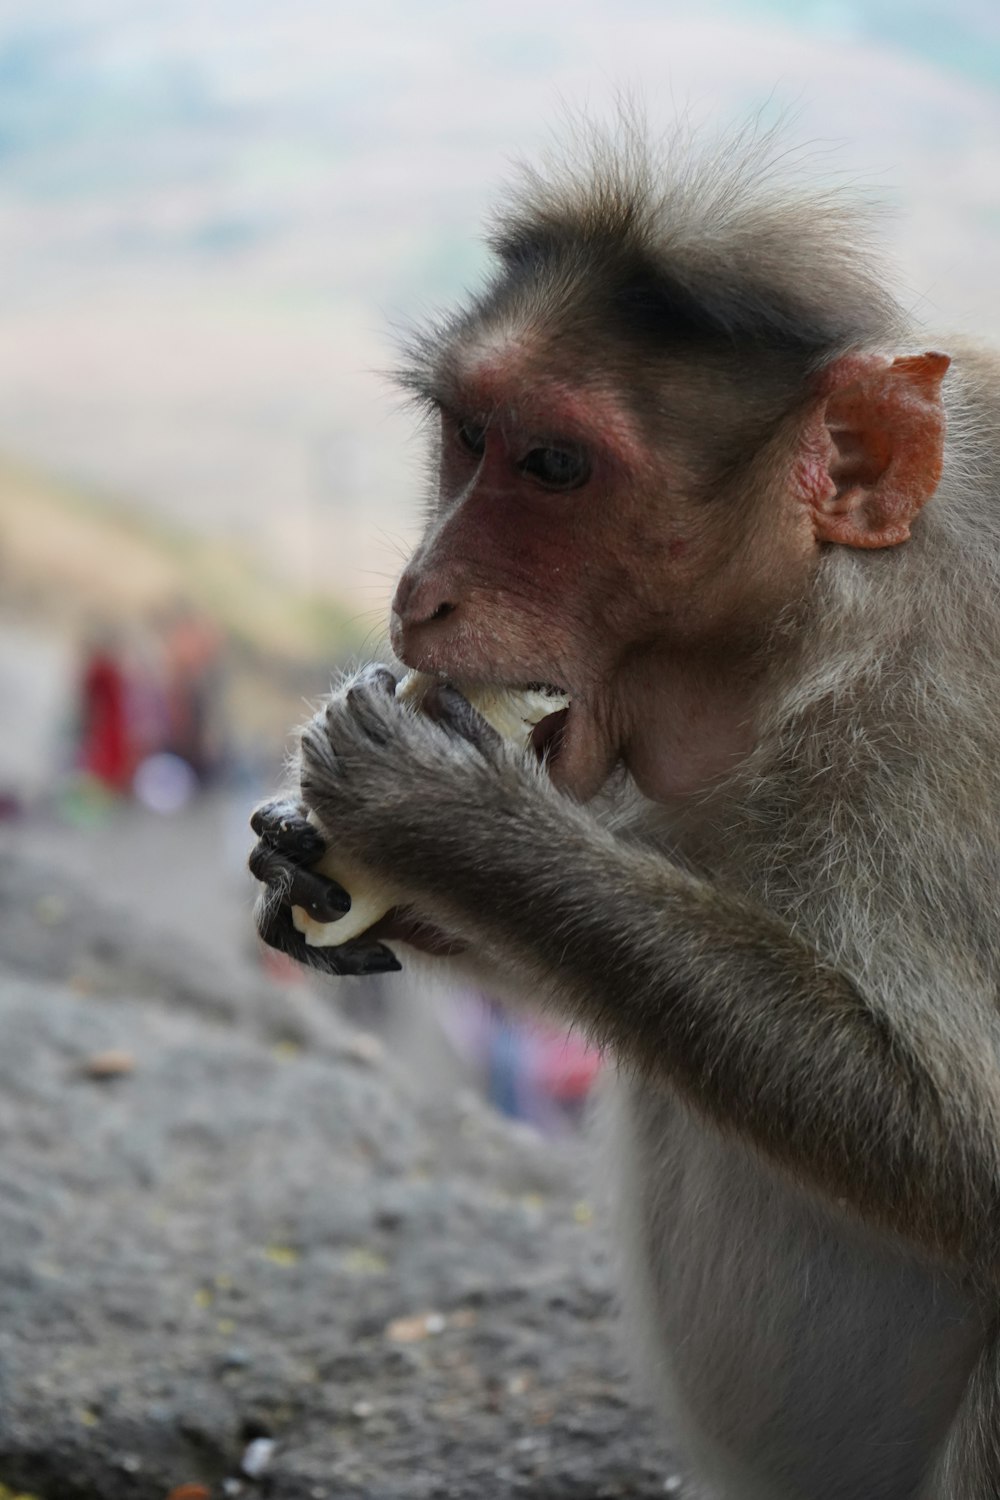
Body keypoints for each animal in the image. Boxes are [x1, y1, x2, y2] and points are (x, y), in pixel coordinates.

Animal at [248, 132, 1000, 1500]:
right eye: (467, 434)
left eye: (553, 467)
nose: (419, 592)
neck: (815, 621)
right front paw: (319, 857)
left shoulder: (946, 717)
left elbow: (965, 1143)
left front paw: (447, 823)